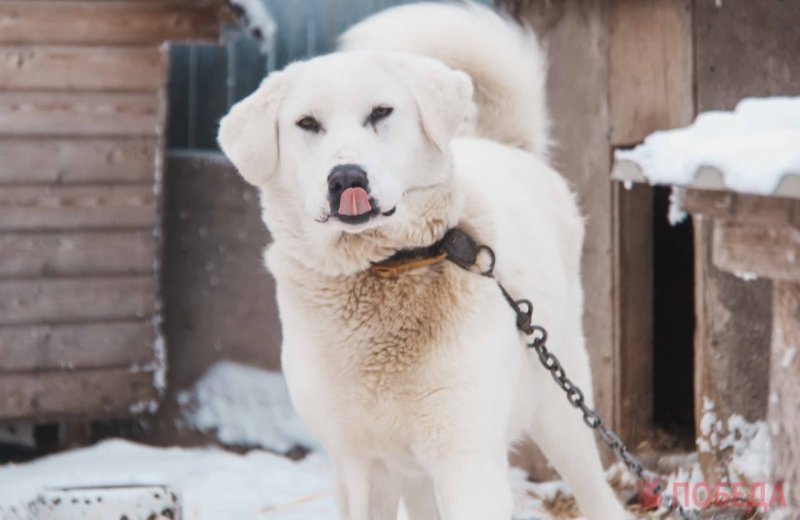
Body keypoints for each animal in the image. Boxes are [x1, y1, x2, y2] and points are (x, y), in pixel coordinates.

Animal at [219, 2, 632, 516]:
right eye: (307, 124)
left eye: (381, 112)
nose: (347, 177)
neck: (385, 268)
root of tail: (506, 144)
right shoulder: (359, 466)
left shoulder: (467, 459)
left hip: (561, 405)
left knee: (596, 488)